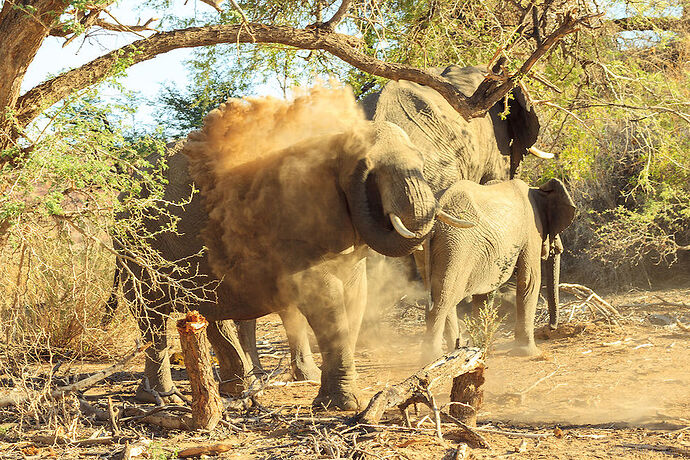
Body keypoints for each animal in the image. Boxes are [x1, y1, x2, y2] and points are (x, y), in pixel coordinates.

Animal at [420, 177, 576, 360]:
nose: (552, 328)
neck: (537, 189)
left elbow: (484, 293)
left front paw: (479, 349)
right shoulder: (531, 231)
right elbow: (529, 281)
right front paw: (529, 353)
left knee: (436, 294)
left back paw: (452, 350)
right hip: (456, 244)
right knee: (444, 297)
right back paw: (433, 357)